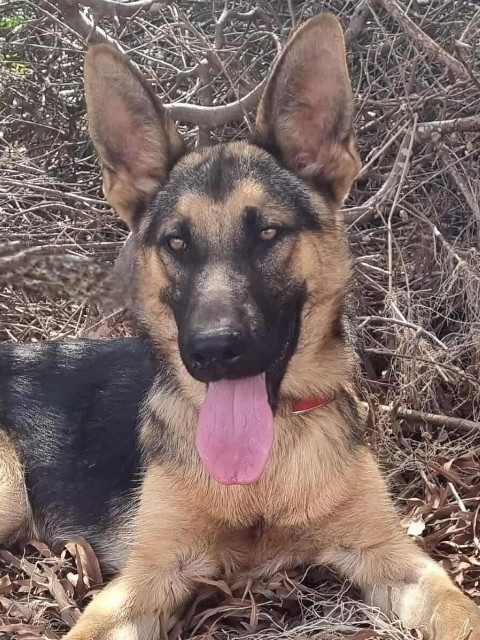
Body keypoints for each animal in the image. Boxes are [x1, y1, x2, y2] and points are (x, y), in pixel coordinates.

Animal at [1, 14, 479, 640]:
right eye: (177, 243)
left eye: (268, 233)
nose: (213, 351)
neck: (265, 474)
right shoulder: (144, 580)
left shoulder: (394, 557)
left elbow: (459, 607)